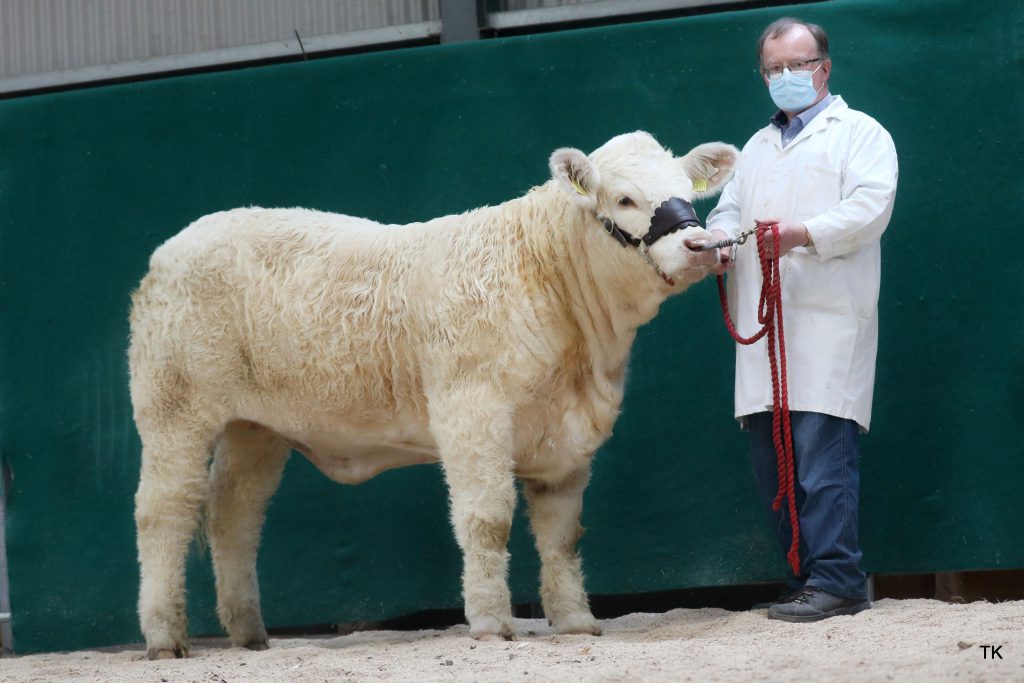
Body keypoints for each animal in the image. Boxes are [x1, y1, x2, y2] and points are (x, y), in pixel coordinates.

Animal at [129, 131, 738, 659]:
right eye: (625, 198)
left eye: (688, 192)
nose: (701, 244)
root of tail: (178, 244)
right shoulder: (472, 412)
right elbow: (487, 519)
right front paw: (491, 624)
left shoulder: (568, 438)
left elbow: (563, 536)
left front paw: (575, 622)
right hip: (173, 410)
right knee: (164, 512)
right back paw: (165, 637)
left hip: (255, 428)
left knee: (233, 513)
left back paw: (249, 634)